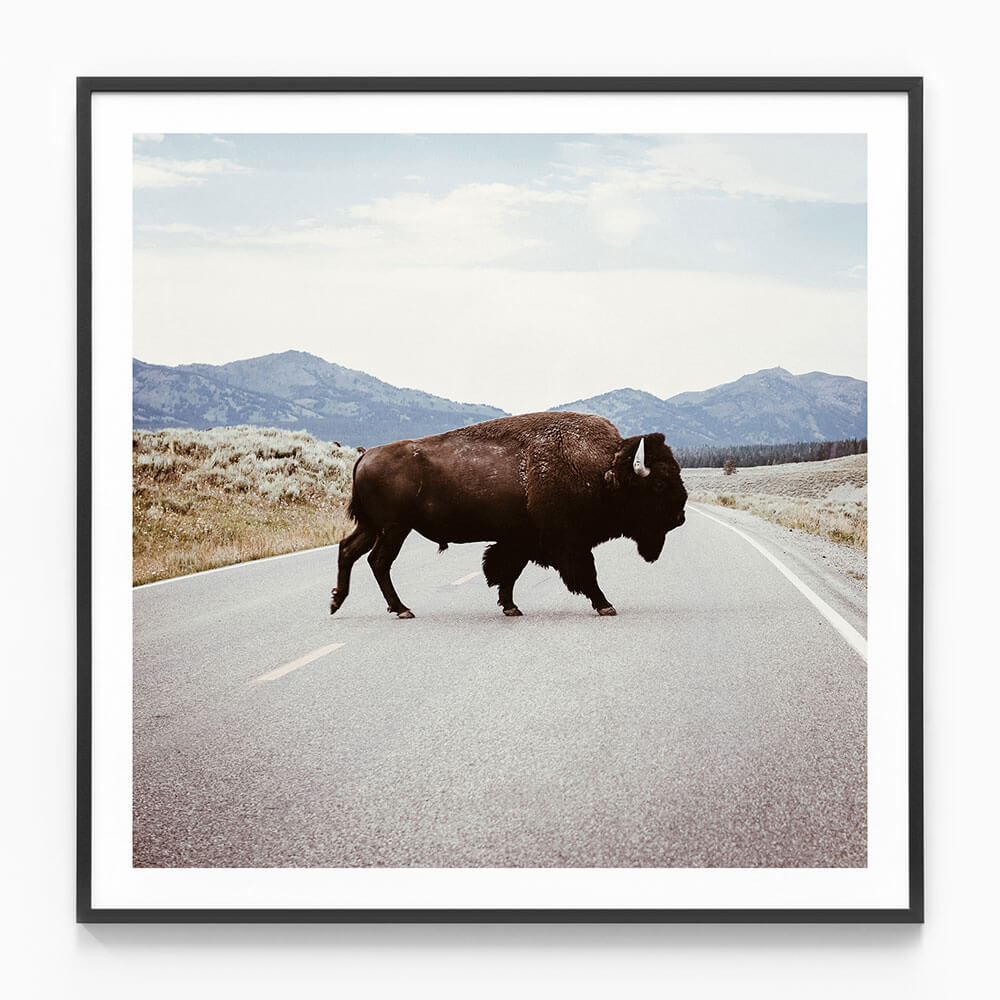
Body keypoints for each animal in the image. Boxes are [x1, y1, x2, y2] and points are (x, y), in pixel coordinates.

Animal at [329, 411, 687, 619]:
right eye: (658, 483)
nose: (681, 516)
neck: (602, 470)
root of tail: (365, 456)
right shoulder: (566, 541)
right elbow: (586, 573)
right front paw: (605, 605)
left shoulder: (521, 540)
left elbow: (507, 572)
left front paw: (511, 607)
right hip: (394, 528)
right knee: (378, 561)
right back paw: (401, 609)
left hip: (373, 526)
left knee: (349, 550)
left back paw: (338, 602)